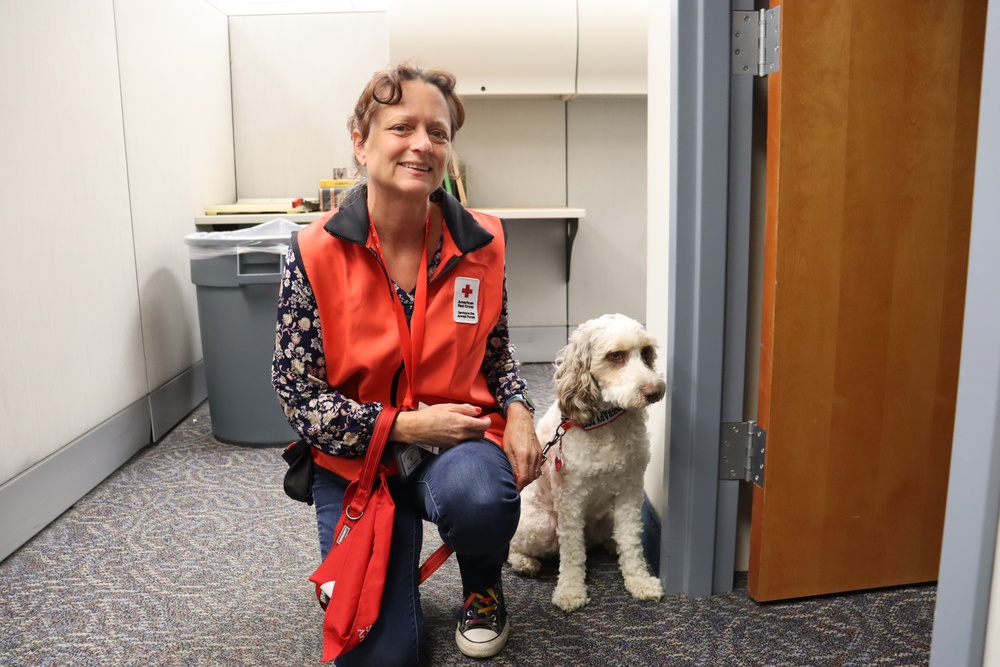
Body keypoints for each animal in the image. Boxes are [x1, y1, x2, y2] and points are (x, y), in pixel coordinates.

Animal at [512, 316, 668, 612]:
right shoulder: (570, 499)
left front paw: (639, 581)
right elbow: (572, 551)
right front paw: (570, 590)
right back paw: (524, 562)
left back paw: (610, 544)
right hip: (542, 524)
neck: (604, 422)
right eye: (615, 355)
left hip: (608, 516)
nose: (655, 392)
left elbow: (631, 540)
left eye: (645, 353)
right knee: (514, 545)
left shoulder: (630, 490)